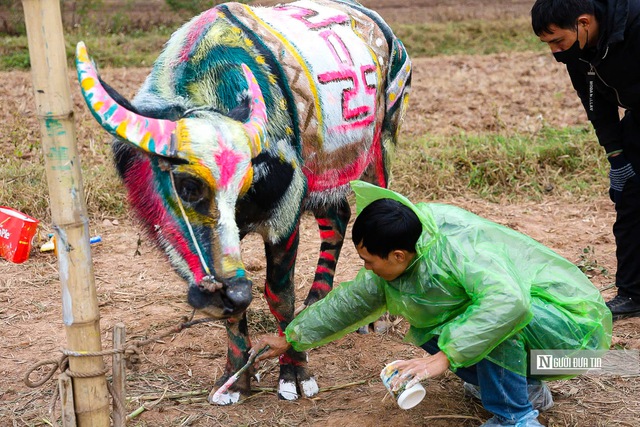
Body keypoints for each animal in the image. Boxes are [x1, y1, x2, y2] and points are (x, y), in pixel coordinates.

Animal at [76, 0, 410, 404]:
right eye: (187, 186)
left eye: (242, 183)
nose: (233, 292)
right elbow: (235, 310)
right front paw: (234, 377)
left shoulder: (285, 217)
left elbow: (279, 295)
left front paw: (294, 372)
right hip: (325, 171)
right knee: (337, 216)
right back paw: (317, 303)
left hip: (381, 148)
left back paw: (375, 319)